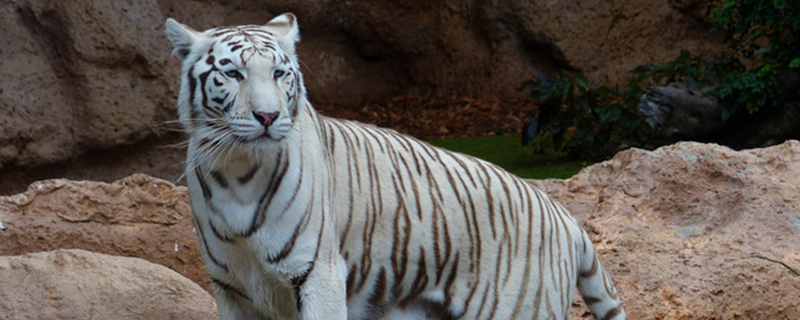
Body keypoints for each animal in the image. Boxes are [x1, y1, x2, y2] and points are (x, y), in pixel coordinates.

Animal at [162, 11, 624, 318]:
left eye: (279, 73)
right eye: (233, 74)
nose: (268, 116)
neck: (236, 170)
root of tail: (564, 215)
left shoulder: (318, 274)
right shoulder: (231, 287)